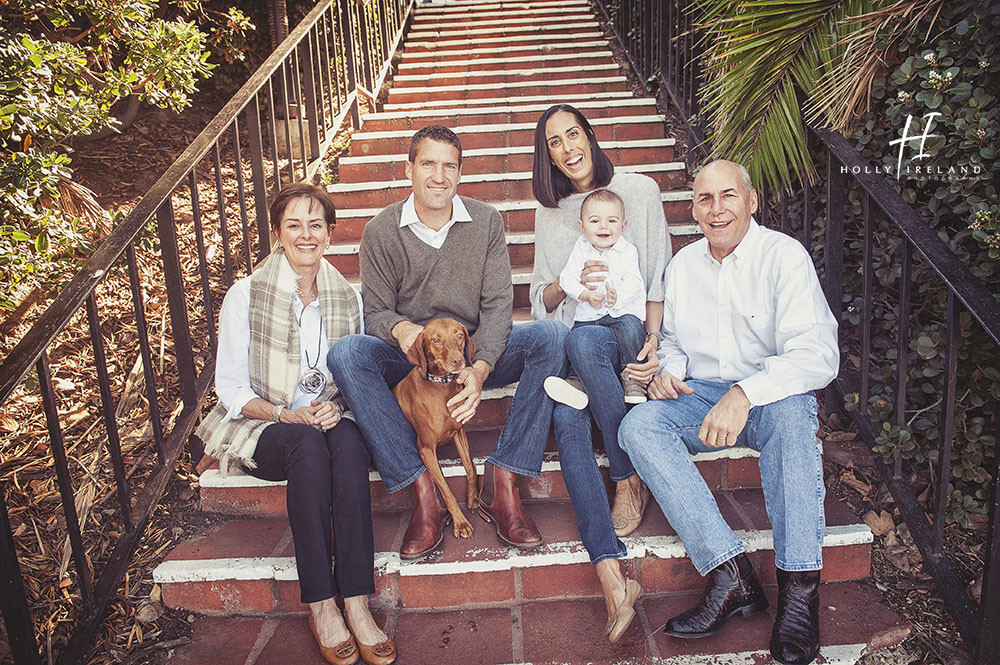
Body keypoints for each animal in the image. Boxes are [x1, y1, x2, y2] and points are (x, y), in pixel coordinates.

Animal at [392, 316, 478, 540]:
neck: (442, 387)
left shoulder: (459, 432)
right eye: (436, 340)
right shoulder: (426, 449)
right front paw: (460, 523)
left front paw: (473, 497)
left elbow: (470, 467)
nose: (458, 361)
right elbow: (446, 491)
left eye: (459, 335)